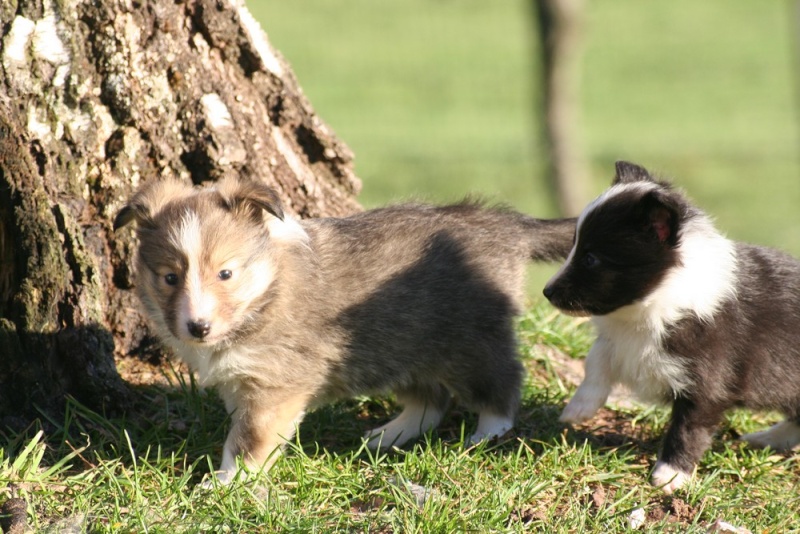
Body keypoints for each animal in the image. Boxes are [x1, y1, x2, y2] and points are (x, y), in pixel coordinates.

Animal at [114, 178, 576, 484]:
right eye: (169, 278)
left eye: (225, 273)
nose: (197, 327)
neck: (263, 295)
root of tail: (504, 226)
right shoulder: (241, 381)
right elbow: (240, 430)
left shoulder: (276, 385)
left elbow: (249, 438)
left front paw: (229, 482)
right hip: (399, 344)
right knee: (431, 399)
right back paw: (386, 437)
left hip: (469, 340)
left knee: (502, 382)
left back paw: (485, 434)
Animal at [544, 162, 800, 494]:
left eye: (591, 258)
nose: (547, 292)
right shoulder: (619, 338)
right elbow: (596, 360)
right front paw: (578, 409)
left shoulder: (707, 382)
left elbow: (688, 430)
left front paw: (671, 475)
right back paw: (764, 439)